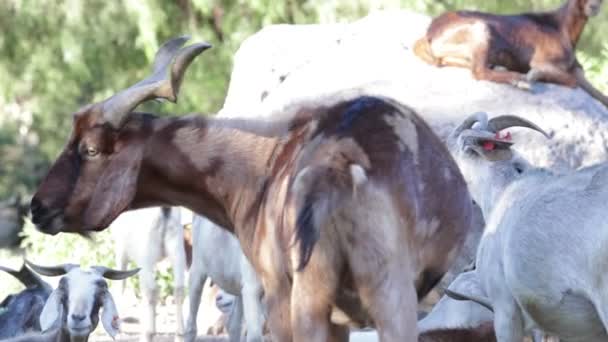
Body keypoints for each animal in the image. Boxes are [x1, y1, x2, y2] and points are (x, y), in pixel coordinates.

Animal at [109, 206, 185, 342]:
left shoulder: (122, 251)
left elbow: (121, 285)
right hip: (177, 248)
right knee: (179, 289)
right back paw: (180, 335)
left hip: (146, 253)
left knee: (152, 290)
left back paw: (148, 334)